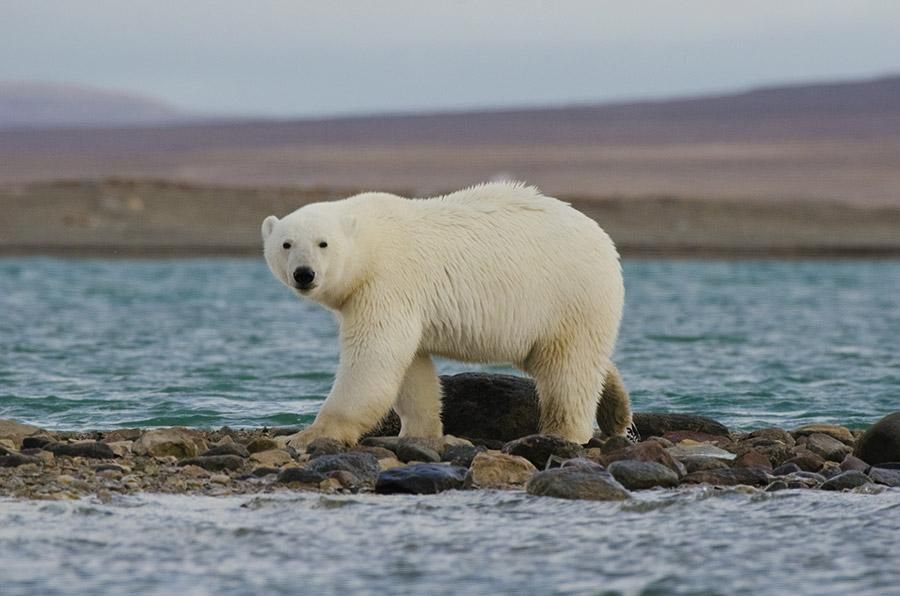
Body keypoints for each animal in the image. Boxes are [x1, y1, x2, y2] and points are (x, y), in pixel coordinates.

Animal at [261, 182, 632, 449]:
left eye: (323, 243)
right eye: (286, 244)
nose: (304, 274)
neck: (370, 241)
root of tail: (603, 238)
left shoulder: (387, 282)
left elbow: (373, 356)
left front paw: (307, 435)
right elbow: (412, 369)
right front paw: (419, 432)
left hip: (568, 294)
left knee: (568, 368)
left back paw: (562, 433)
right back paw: (616, 410)